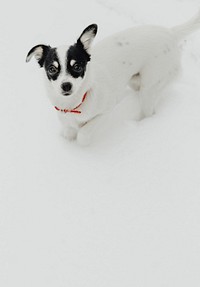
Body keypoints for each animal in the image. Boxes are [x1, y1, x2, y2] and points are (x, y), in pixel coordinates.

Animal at [25, 11, 200, 146]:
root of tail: (170, 32)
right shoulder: (66, 119)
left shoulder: (104, 112)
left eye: (77, 67)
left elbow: (83, 134)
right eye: (52, 69)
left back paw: (141, 125)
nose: (66, 86)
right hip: (135, 79)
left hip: (149, 87)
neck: (75, 103)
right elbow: (69, 131)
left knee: (150, 109)